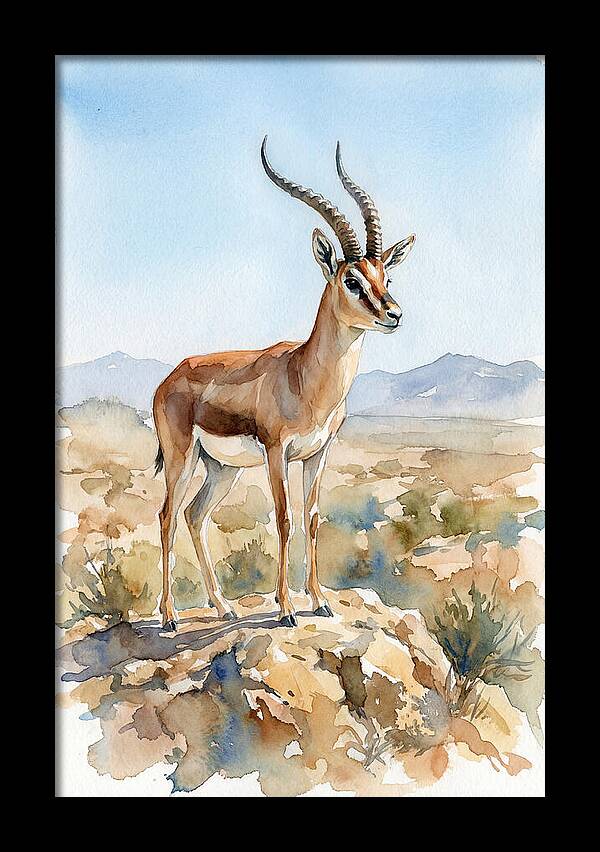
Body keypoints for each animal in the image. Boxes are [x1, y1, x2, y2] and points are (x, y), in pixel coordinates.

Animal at [152, 137, 416, 630]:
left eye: (385, 275)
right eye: (351, 279)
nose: (393, 314)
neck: (305, 377)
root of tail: (170, 377)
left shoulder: (318, 452)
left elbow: (311, 518)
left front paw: (320, 600)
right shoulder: (278, 451)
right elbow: (283, 519)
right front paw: (287, 608)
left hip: (222, 468)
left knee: (195, 516)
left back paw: (223, 606)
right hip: (182, 457)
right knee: (167, 516)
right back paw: (170, 616)